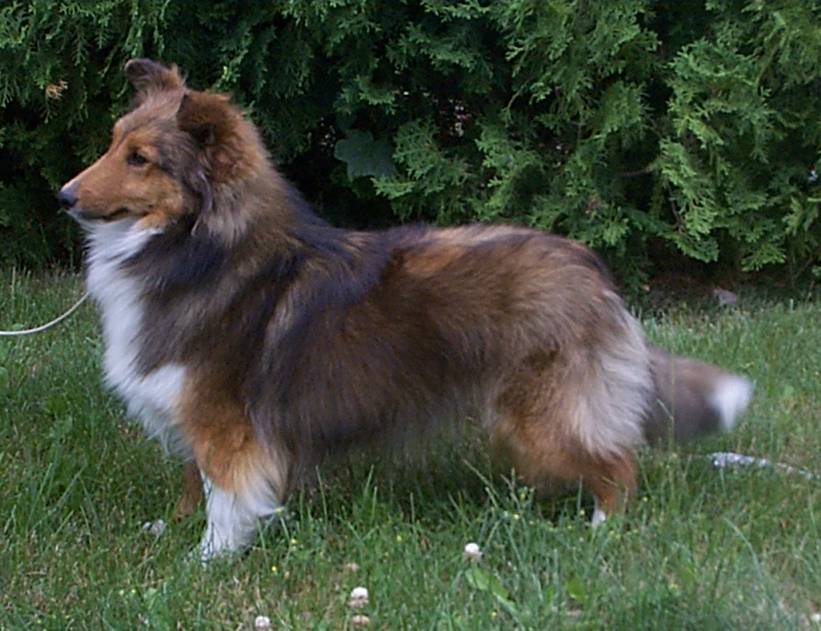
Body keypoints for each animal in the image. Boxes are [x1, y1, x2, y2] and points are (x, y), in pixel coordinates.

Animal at [59, 59, 753, 559]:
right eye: (114, 143)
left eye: (140, 159)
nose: (64, 196)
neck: (199, 248)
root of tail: (595, 275)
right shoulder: (192, 416)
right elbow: (191, 483)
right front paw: (169, 531)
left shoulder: (227, 425)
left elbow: (225, 497)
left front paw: (205, 561)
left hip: (546, 418)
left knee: (620, 464)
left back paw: (602, 530)